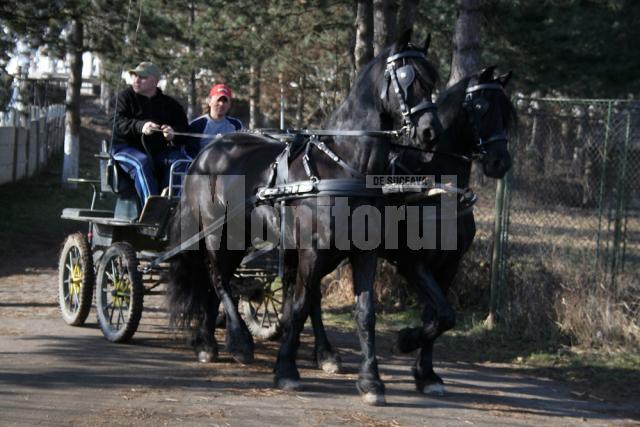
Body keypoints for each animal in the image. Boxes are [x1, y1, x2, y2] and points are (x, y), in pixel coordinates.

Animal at [168, 28, 442, 406]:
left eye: (433, 80)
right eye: (407, 78)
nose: (431, 132)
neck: (344, 166)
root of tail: (206, 153)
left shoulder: (364, 253)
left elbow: (364, 313)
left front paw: (371, 381)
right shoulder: (312, 251)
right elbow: (297, 307)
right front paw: (286, 370)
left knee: (215, 282)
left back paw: (209, 342)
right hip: (219, 235)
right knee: (218, 278)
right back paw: (236, 342)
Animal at [304, 66, 516, 394]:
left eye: (507, 112)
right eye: (480, 107)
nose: (499, 162)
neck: (436, 187)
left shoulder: (448, 266)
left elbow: (440, 317)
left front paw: (426, 374)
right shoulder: (412, 264)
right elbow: (444, 315)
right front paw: (405, 341)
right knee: (312, 293)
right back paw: (326, 354)